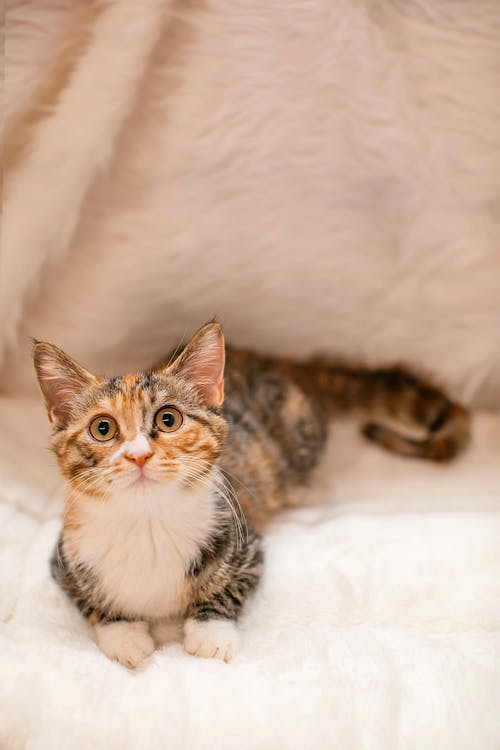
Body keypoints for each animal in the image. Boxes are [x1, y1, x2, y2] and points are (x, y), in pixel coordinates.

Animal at [33, 322, 470, 668]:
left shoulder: (246, 544)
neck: (147, 521)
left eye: (168, 419)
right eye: (102, 429)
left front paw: (210, 634)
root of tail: (272, 362)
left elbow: (229, 589)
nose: (138, 454)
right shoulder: (64, 559)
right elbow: (90, 601)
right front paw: (125, 636)